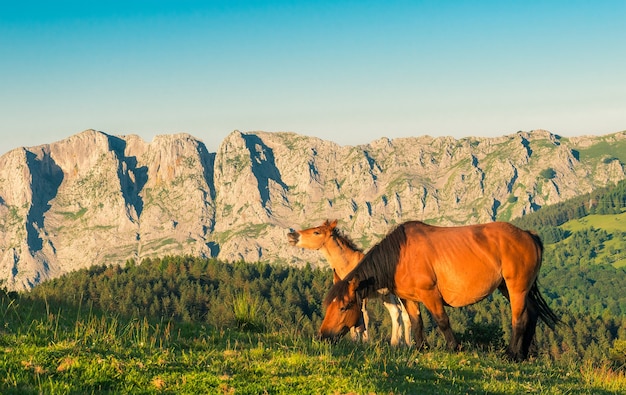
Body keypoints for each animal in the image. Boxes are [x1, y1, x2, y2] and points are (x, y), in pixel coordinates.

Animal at [320, 221, 560, 360]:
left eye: (344, 307)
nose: (324, 336)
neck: (400, 255)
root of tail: (529, 235)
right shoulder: (409, 298)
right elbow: (416, 322)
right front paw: (421, 348)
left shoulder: (430, 294)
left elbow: (442, 321)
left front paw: (454, 347)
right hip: (511, 288)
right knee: (532, 314)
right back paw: (523, 354)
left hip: (516, 287)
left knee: (519, 319)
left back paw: (512, 354)